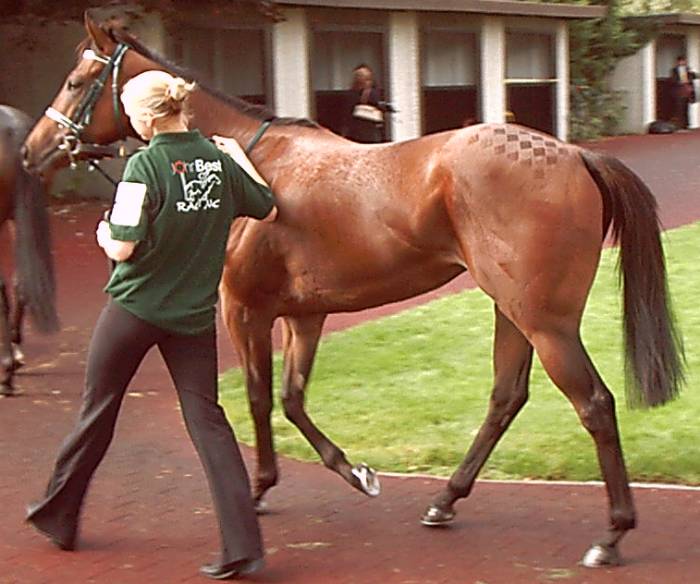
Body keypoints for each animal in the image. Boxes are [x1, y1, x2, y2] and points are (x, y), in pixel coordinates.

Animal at [22, 13, 684, 567]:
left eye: (77, 80)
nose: (32, 151)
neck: (252, 160)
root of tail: (574, 155)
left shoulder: (245, 309)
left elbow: (258, 398)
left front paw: (261, 487)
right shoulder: (304, 315)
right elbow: (292, 398)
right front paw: (352, 471)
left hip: (545, 319)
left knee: (593, 403)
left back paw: (611, 534)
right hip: (511, 309)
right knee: (506, 397)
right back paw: (445, 500)